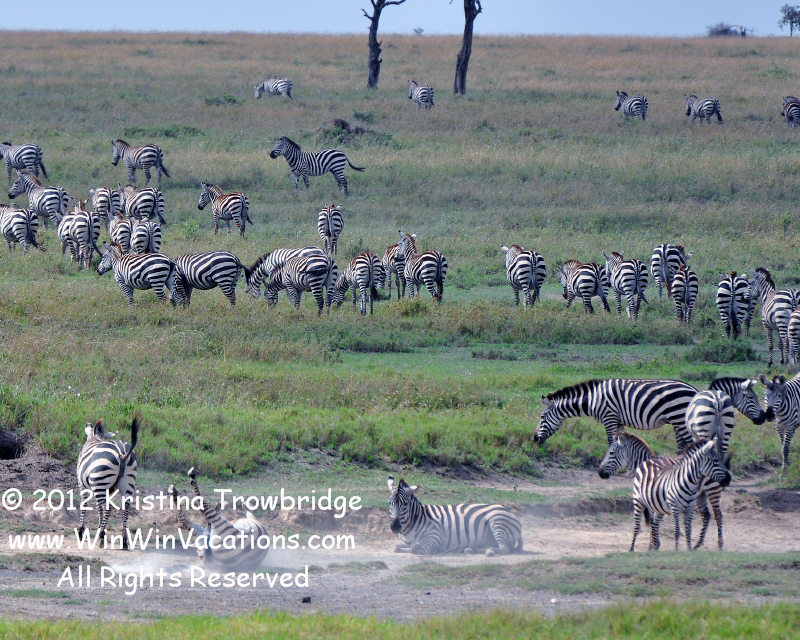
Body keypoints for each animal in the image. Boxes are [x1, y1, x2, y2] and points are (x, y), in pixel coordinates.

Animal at [77, 416, 139, 550]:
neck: (96, 437)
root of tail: (122, 452)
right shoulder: (107, 489)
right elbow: (98, 508)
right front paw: (101, 528)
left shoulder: (82, 485)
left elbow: (84, 505)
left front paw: (81, 531)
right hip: (127, 484)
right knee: (124, 510)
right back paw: (124, 541)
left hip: (100, 482)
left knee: (108, 508)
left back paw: (101, 537)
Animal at [388, 476, 522, 556]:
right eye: (389, 503)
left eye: (405, 504)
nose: (394, 527)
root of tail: (508, 511)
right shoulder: (406, 541)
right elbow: (397, 547)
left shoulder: (434, 534)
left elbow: (415, 547)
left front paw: (438, 549)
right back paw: (472, 549)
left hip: (497, 522)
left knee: (505, 549)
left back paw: (485, 551)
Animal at [535, 379, 699, 451]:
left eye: (542, 418)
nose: (534, 439)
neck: (593, 399)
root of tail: (693, 389)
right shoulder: (618, 420)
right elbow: (622, 441)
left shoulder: (609, 417)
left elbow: (610, 441)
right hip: (676, 420)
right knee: (682, 444)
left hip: (679, 418)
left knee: (692, 442)